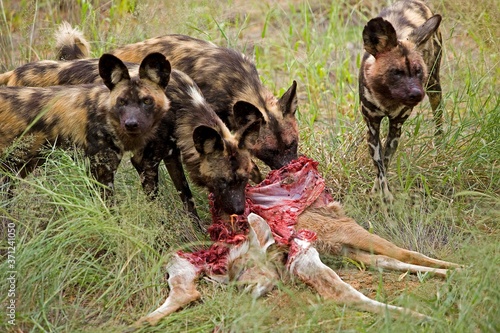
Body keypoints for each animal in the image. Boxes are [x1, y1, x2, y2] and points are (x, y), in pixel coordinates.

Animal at [360, 0, 442, 201]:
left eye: (418, 71)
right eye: (396, 72)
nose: (417, 94)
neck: (387, 99)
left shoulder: (396, 127)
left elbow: (385, 160)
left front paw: (382, 194)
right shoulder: (372, 127)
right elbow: (380, 166)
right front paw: (381, 194)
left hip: (434, 86)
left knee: (439, 119)